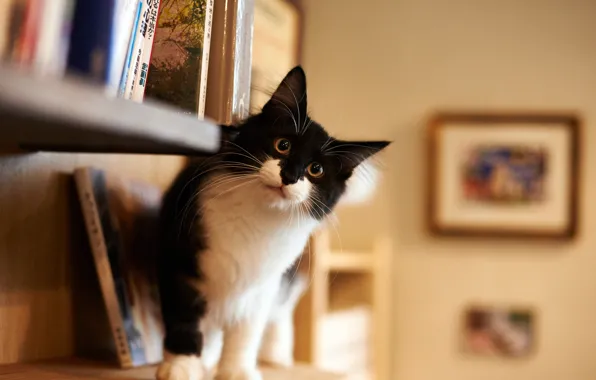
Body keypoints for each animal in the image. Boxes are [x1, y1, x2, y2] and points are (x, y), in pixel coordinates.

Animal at [155, 66, 392, 380]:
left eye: (315, 170)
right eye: (283, 145)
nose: (289, 177)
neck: (257, 216)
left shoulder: (263, 286)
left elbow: (246, 333)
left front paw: (237, 371)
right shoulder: (181, 266)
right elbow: (184, 319)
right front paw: (182, 365)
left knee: (279, 314)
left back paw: (276, 355)